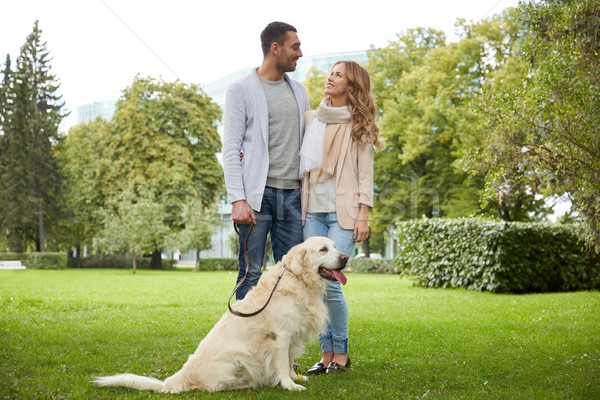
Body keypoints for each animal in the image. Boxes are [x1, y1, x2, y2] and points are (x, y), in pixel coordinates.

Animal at [93, 236, 346, 392]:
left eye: (335, 246)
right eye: (323, 249)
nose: (345, 258)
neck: (299, 280)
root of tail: (178, 377)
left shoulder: (292, 335)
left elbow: (290, 360)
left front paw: (295, 378)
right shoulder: (281, 336)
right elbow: (283, 364)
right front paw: (289, 385)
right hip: (236, 360)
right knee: (214, 387)